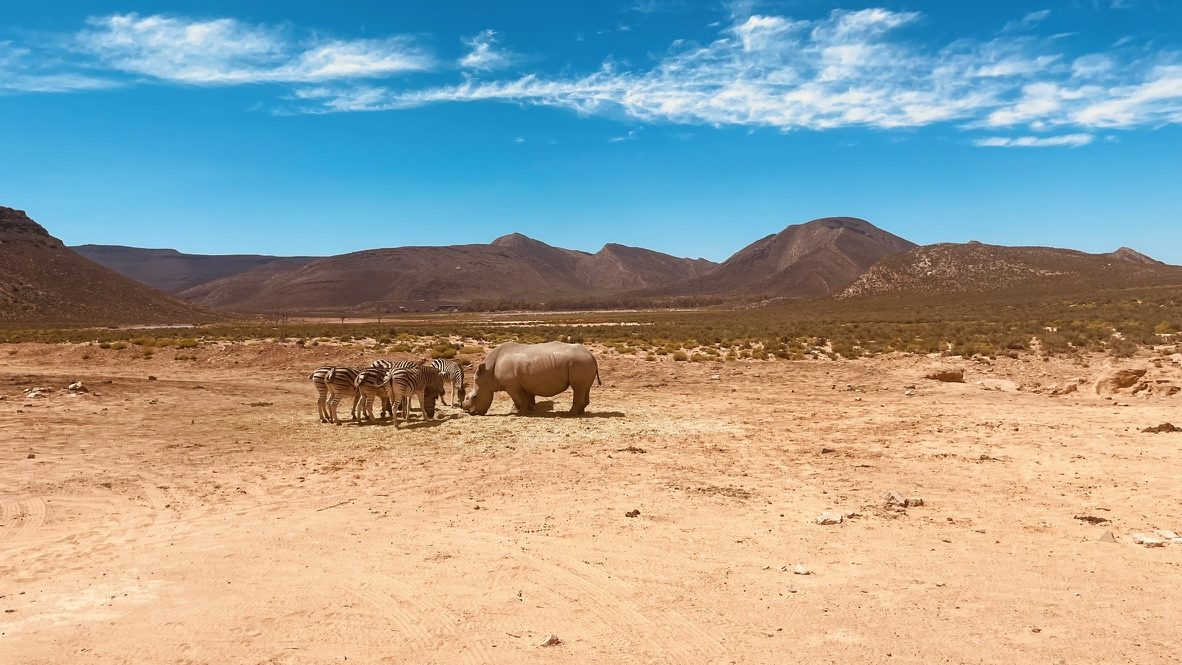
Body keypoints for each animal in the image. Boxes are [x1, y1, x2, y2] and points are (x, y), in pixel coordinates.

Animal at [463, 341, 601, 416]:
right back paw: (581, 412)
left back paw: (570, 414)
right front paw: (528, 410)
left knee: (578, 388)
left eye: (474, 397)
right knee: (584, 388)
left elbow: (518, 398)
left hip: (580, 362)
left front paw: (520, 413)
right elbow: (525, 397)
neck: (487, 373)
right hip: (583, 362)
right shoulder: (523, 383)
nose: (470, 412)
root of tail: (591, 355)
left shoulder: (511, 385)